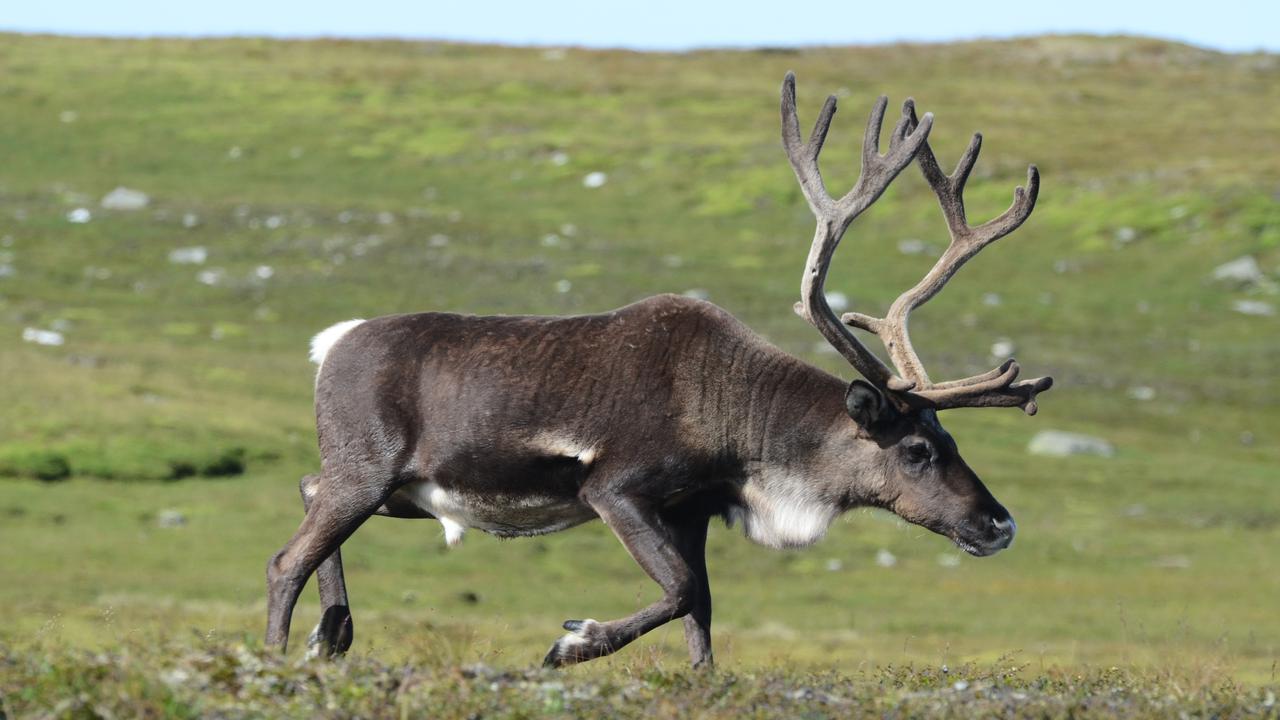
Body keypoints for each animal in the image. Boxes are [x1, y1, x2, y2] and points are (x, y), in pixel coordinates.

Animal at [265, 72, 1053, 669]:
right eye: (917, 450)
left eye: (953, 442)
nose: (1002, 524)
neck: (741, 429)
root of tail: (330, 343)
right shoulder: (616, 489)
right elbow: (676, 592)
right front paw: (573, 643)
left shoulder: (692, 509)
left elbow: (700, 608)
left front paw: (700, 682)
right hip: (371, 470)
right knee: (286, 558)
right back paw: (282, 654)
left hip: (404, 487)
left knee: (308, 490)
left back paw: (332, 632)